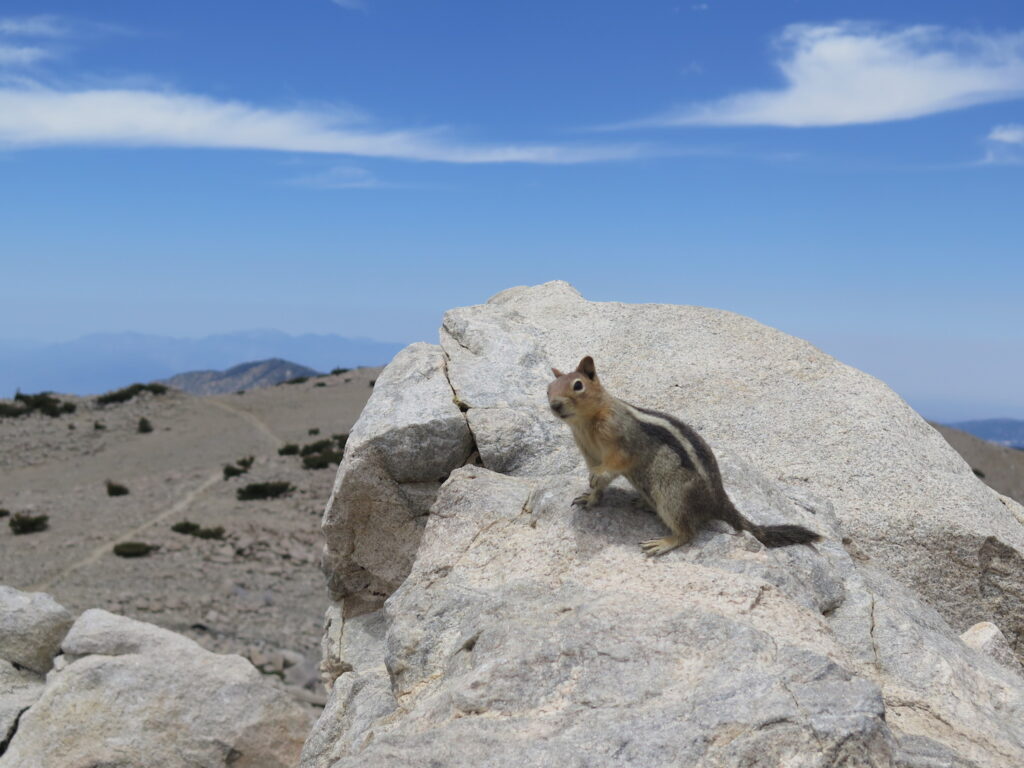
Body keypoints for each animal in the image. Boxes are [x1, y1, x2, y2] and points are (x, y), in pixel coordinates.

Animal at [548, 358, 819, 557]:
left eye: (578, 385)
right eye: (549, 388)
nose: (554, 405)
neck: (585, 423)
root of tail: (718, 499)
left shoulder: (622, 440)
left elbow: (616, 463)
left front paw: (597, 477)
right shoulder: (588, 451)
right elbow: (599, 481)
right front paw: (590, 496)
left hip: (673, 497)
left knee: (688, 532)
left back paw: (663, 543)